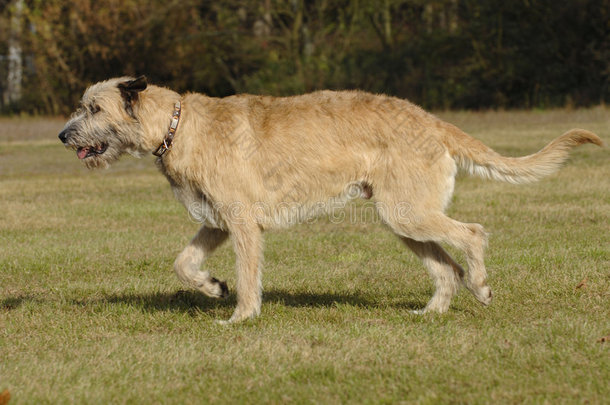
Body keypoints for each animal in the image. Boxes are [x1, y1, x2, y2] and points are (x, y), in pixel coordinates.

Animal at [59, 75, 600, 322]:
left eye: (93, 107)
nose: (64, 135)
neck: (176, 124)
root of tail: (432, 120)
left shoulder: (242, 223)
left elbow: (248, 276)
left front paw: (241, 317)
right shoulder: (215, 222)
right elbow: (183, 263)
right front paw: (212, 287)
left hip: (408, 212)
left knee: (473, 234)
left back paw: (482, 286)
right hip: (404, 219)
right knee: (446, 266)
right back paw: (432, 312)